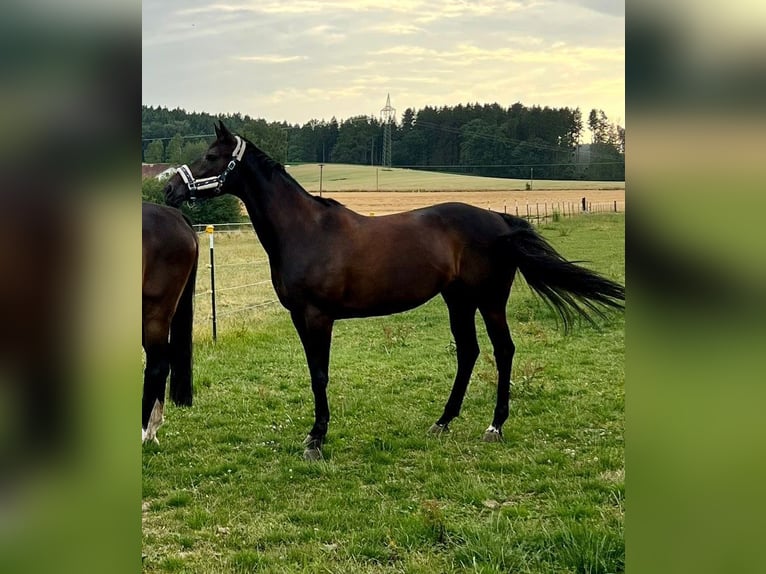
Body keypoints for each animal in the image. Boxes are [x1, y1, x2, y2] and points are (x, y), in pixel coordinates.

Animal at [164, 124, 624, 462]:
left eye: (211, 156)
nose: (170, 190)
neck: (305, 229)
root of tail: (500, 221)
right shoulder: (299, 317)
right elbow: (314, 373)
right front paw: (315, 434)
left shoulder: (318, 316)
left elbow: (320, 375)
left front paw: (317, 439)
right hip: (457, 300)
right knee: (469, 352)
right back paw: (443, 421)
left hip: (490, 301)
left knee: (503, 350)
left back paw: (495, 425)